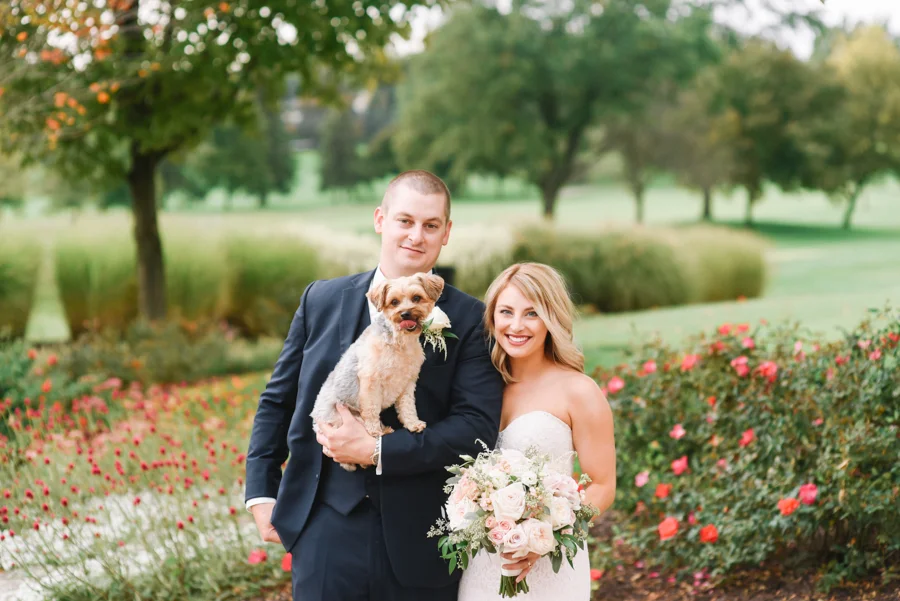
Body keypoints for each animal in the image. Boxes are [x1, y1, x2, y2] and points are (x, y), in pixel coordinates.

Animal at [310, 273, 445, 471]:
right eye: (394, 302)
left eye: (416, 298)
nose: (405, 313)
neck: (399, 342)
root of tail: (315, 420)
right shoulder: (371, 382)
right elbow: (372, 409)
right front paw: (374, 431)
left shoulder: (408, 383)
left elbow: (408, 407)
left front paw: (413, 424)